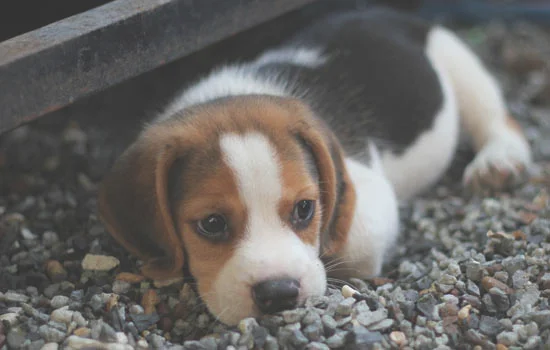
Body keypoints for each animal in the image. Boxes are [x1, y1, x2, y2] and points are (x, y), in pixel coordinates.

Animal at [98, 8, 536, 326]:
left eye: (305, 209)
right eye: (211, 224)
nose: (279, 293)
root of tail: (387, 13)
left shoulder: (369, 194)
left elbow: (350, 242)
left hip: (458, 63)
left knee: (496, 118)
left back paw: (498, 162)